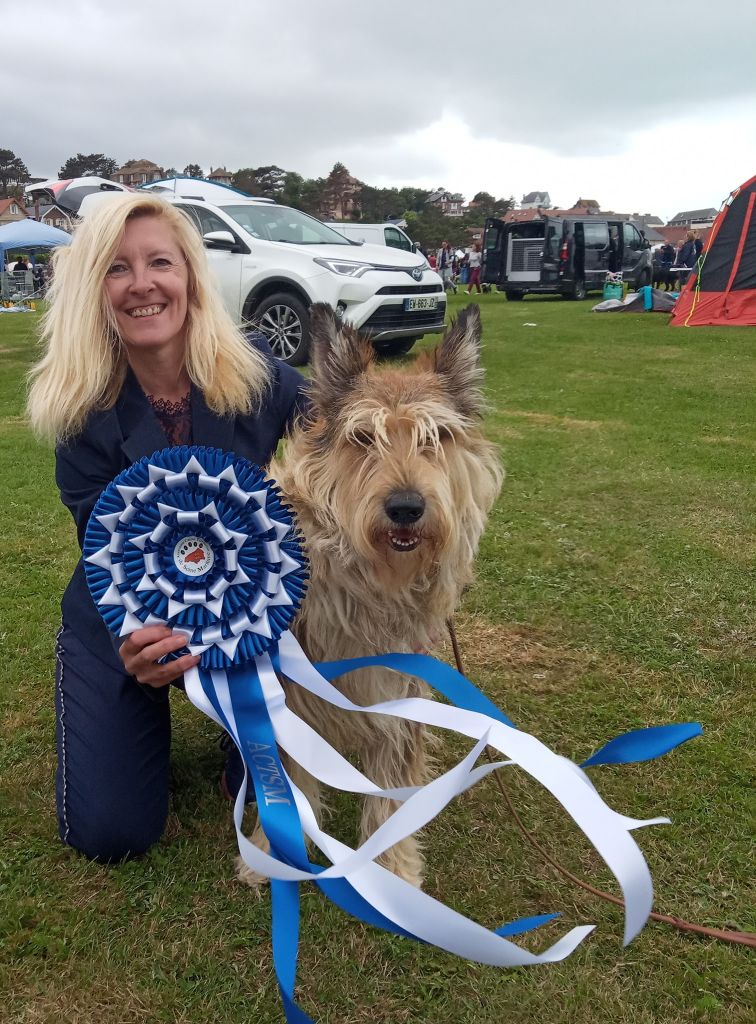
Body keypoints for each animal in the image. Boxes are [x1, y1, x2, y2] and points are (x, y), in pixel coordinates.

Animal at [238, 303, 504, 888]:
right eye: (363, 438)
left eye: (437, 437)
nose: (406, 507)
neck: (373, 583)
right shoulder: (290, 695)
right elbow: (283, 779)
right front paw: (271, 852)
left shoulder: (401, 684)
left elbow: (392, 779)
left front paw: (394, 867)